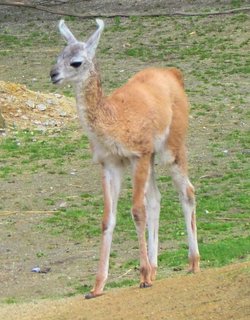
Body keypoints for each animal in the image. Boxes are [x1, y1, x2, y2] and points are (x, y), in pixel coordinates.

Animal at [49, 19, 200, 300]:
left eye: (76, 62)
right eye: (58, 56)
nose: (53, 74)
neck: (113, 120)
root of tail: (173, 74)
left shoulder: (137, 155)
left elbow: (137, 211)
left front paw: (142, 276)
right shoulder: (111, 163)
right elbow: (108, 218)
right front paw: (97, 287)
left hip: (171, 147)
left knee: (187, 191)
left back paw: (193, 262)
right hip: (152, 158)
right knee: (156, 199)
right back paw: (154, 268)